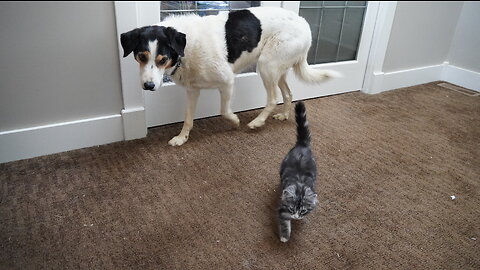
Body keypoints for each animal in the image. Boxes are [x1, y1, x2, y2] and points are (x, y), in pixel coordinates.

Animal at [121, 6, 338, 146]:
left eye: (162, 59)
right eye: (141, 56)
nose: (148, 86)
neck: (186, 47)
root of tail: (304, 24)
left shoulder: (227, 81)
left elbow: (224, 110)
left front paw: (235, 121)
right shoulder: (192, 91)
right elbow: (188, 118)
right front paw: (182, 138)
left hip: (266, 66)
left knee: (272, 98)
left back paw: (258, 122)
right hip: (278, 70)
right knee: (288, 94)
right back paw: (284, 115)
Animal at [278, 101, 318, 243]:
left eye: (303, 211)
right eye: (291, 209)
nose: (296, 217)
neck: (300, 184)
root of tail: (302, 144)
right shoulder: (282, 208)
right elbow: (284, 223)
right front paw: (284, 237)